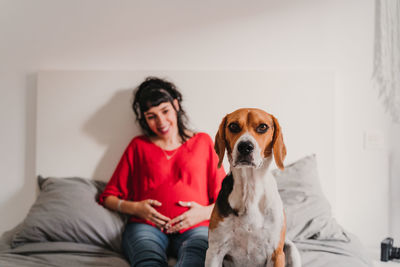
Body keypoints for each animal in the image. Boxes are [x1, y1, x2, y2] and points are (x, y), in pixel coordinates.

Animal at [206, 108, 300, 266]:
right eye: (233, 126)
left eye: (263, 127)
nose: (245, 147)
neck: (250, 189)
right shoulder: (214, 252)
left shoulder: (276, 253)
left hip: (291, 249)